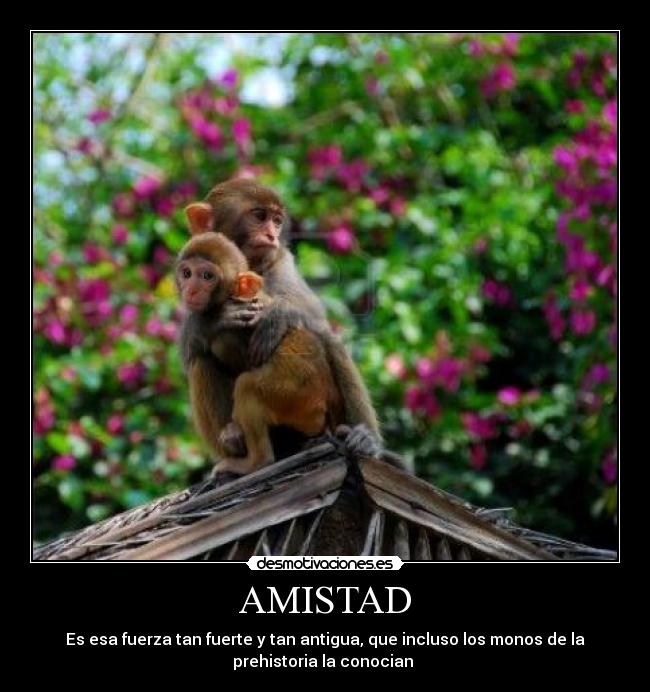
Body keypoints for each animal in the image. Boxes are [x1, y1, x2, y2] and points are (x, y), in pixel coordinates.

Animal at [176, 231, 343, 474]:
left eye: (207, 276)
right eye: (187, 274)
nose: (191, 289)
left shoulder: (232, 331)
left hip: (295, 396)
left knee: (243, 384)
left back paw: (256, 461)